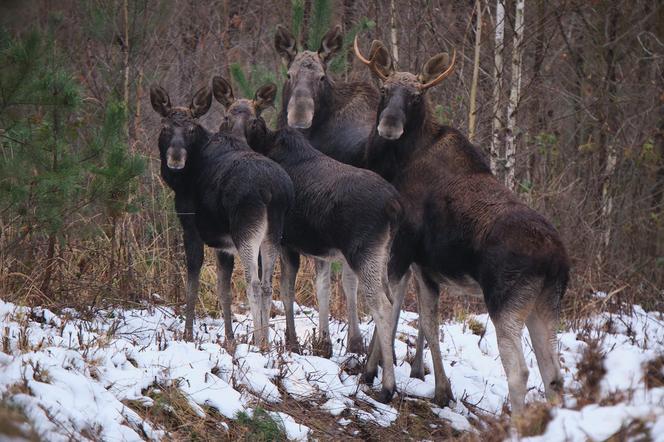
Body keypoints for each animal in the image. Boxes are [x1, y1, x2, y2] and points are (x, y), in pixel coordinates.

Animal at [153, 84, 296, 348]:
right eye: (165, 127)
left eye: (191, 129)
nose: (175, 159)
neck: (181, 181)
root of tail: (271, 190)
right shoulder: (224, 245)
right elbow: (224, 290)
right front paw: (229, 337)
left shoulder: (190, 227)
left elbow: (193, 284)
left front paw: (188, 334)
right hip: (273, 233)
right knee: (268, 285)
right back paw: (265, 341)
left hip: (245, 230)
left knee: (254, 283)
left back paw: (259, 342)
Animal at [210, 76, 402, 400]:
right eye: (226, 116)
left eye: (254, 118)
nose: (235, 138)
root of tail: (394, 207)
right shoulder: (312, 248)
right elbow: (315, 287)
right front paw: (316, 344)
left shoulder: (286, 241)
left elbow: (283, 290)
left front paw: (288, 341)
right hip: (384, 252)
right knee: (390, 299)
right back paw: (369, 371)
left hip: (363, 251)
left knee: (382, 306)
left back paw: (387, 385)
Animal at [352, 36, 572, 412]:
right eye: (384, 90)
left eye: (416, 96)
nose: (390, 124)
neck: (396, 164)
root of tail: (557, 261)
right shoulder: (425, 268)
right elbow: (428, 322)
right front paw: (443, 390)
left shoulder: (401, 250)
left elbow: (390, 310)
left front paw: (375, 377)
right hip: (546, 304)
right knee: (554, 375)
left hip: (506, 302)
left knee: (520, 372)